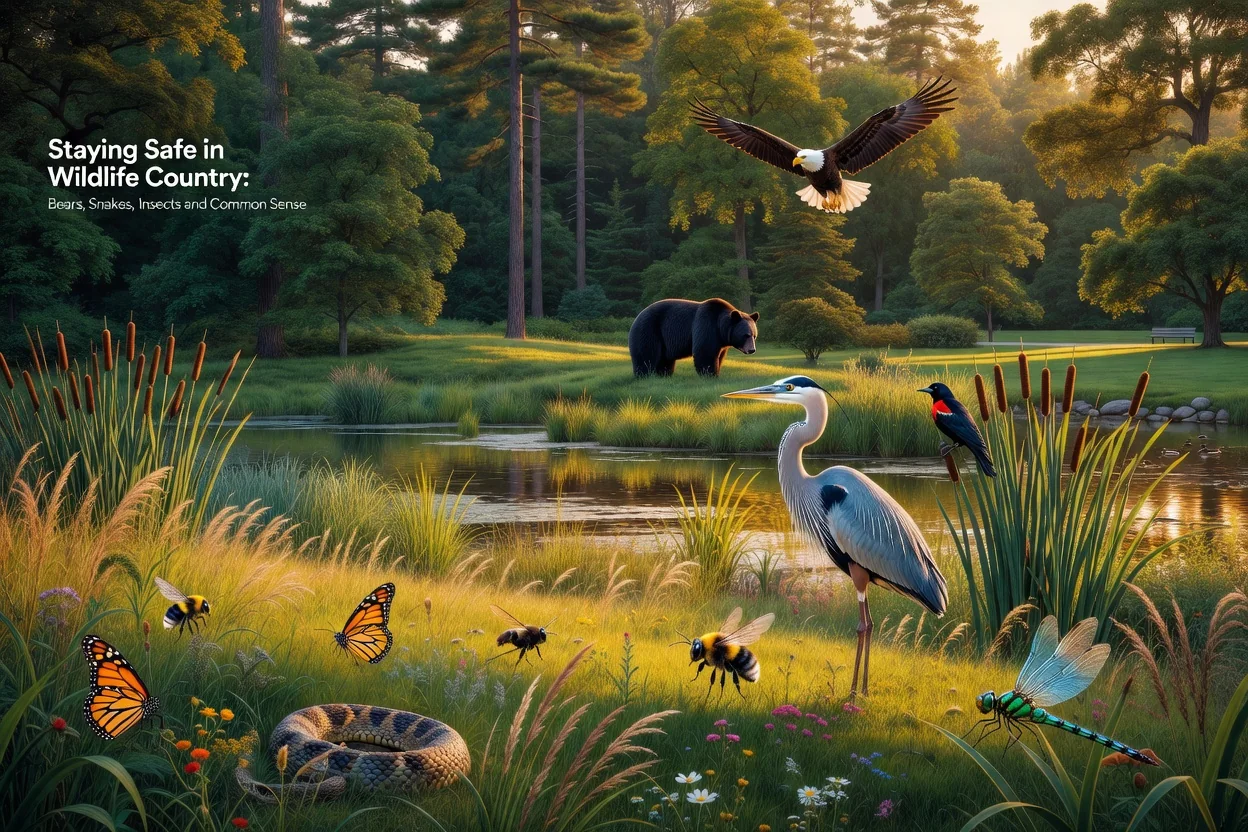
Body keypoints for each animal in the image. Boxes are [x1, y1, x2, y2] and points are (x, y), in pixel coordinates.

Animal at [628, 298, 759, 377]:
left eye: (754, 336)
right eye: (746, 335)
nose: (752, 350)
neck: (720, 327)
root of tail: (637, 316)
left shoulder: (721, 341)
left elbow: (719, 356)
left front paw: (717, 370)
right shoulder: (706, 325)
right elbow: (705, 351)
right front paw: (710, 374)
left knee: (664, 360)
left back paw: (663, 374)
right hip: (648, 329)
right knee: (646, 354)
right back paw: (644, 375)